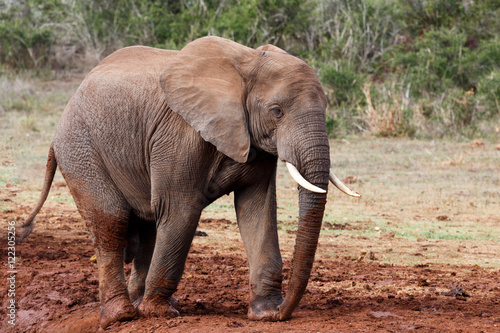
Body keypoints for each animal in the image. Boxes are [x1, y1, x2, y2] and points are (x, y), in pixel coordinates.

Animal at [17, 35, 358, 326]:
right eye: (277, 111)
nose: (282, 312)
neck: (246, 63)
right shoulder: (179, 135)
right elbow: (180, 209)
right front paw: (159, 313)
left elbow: (257, 209)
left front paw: (263, 313)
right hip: (79, 148)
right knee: (111, 220)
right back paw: (122, 316)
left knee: (147, 225)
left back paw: (139, 303)